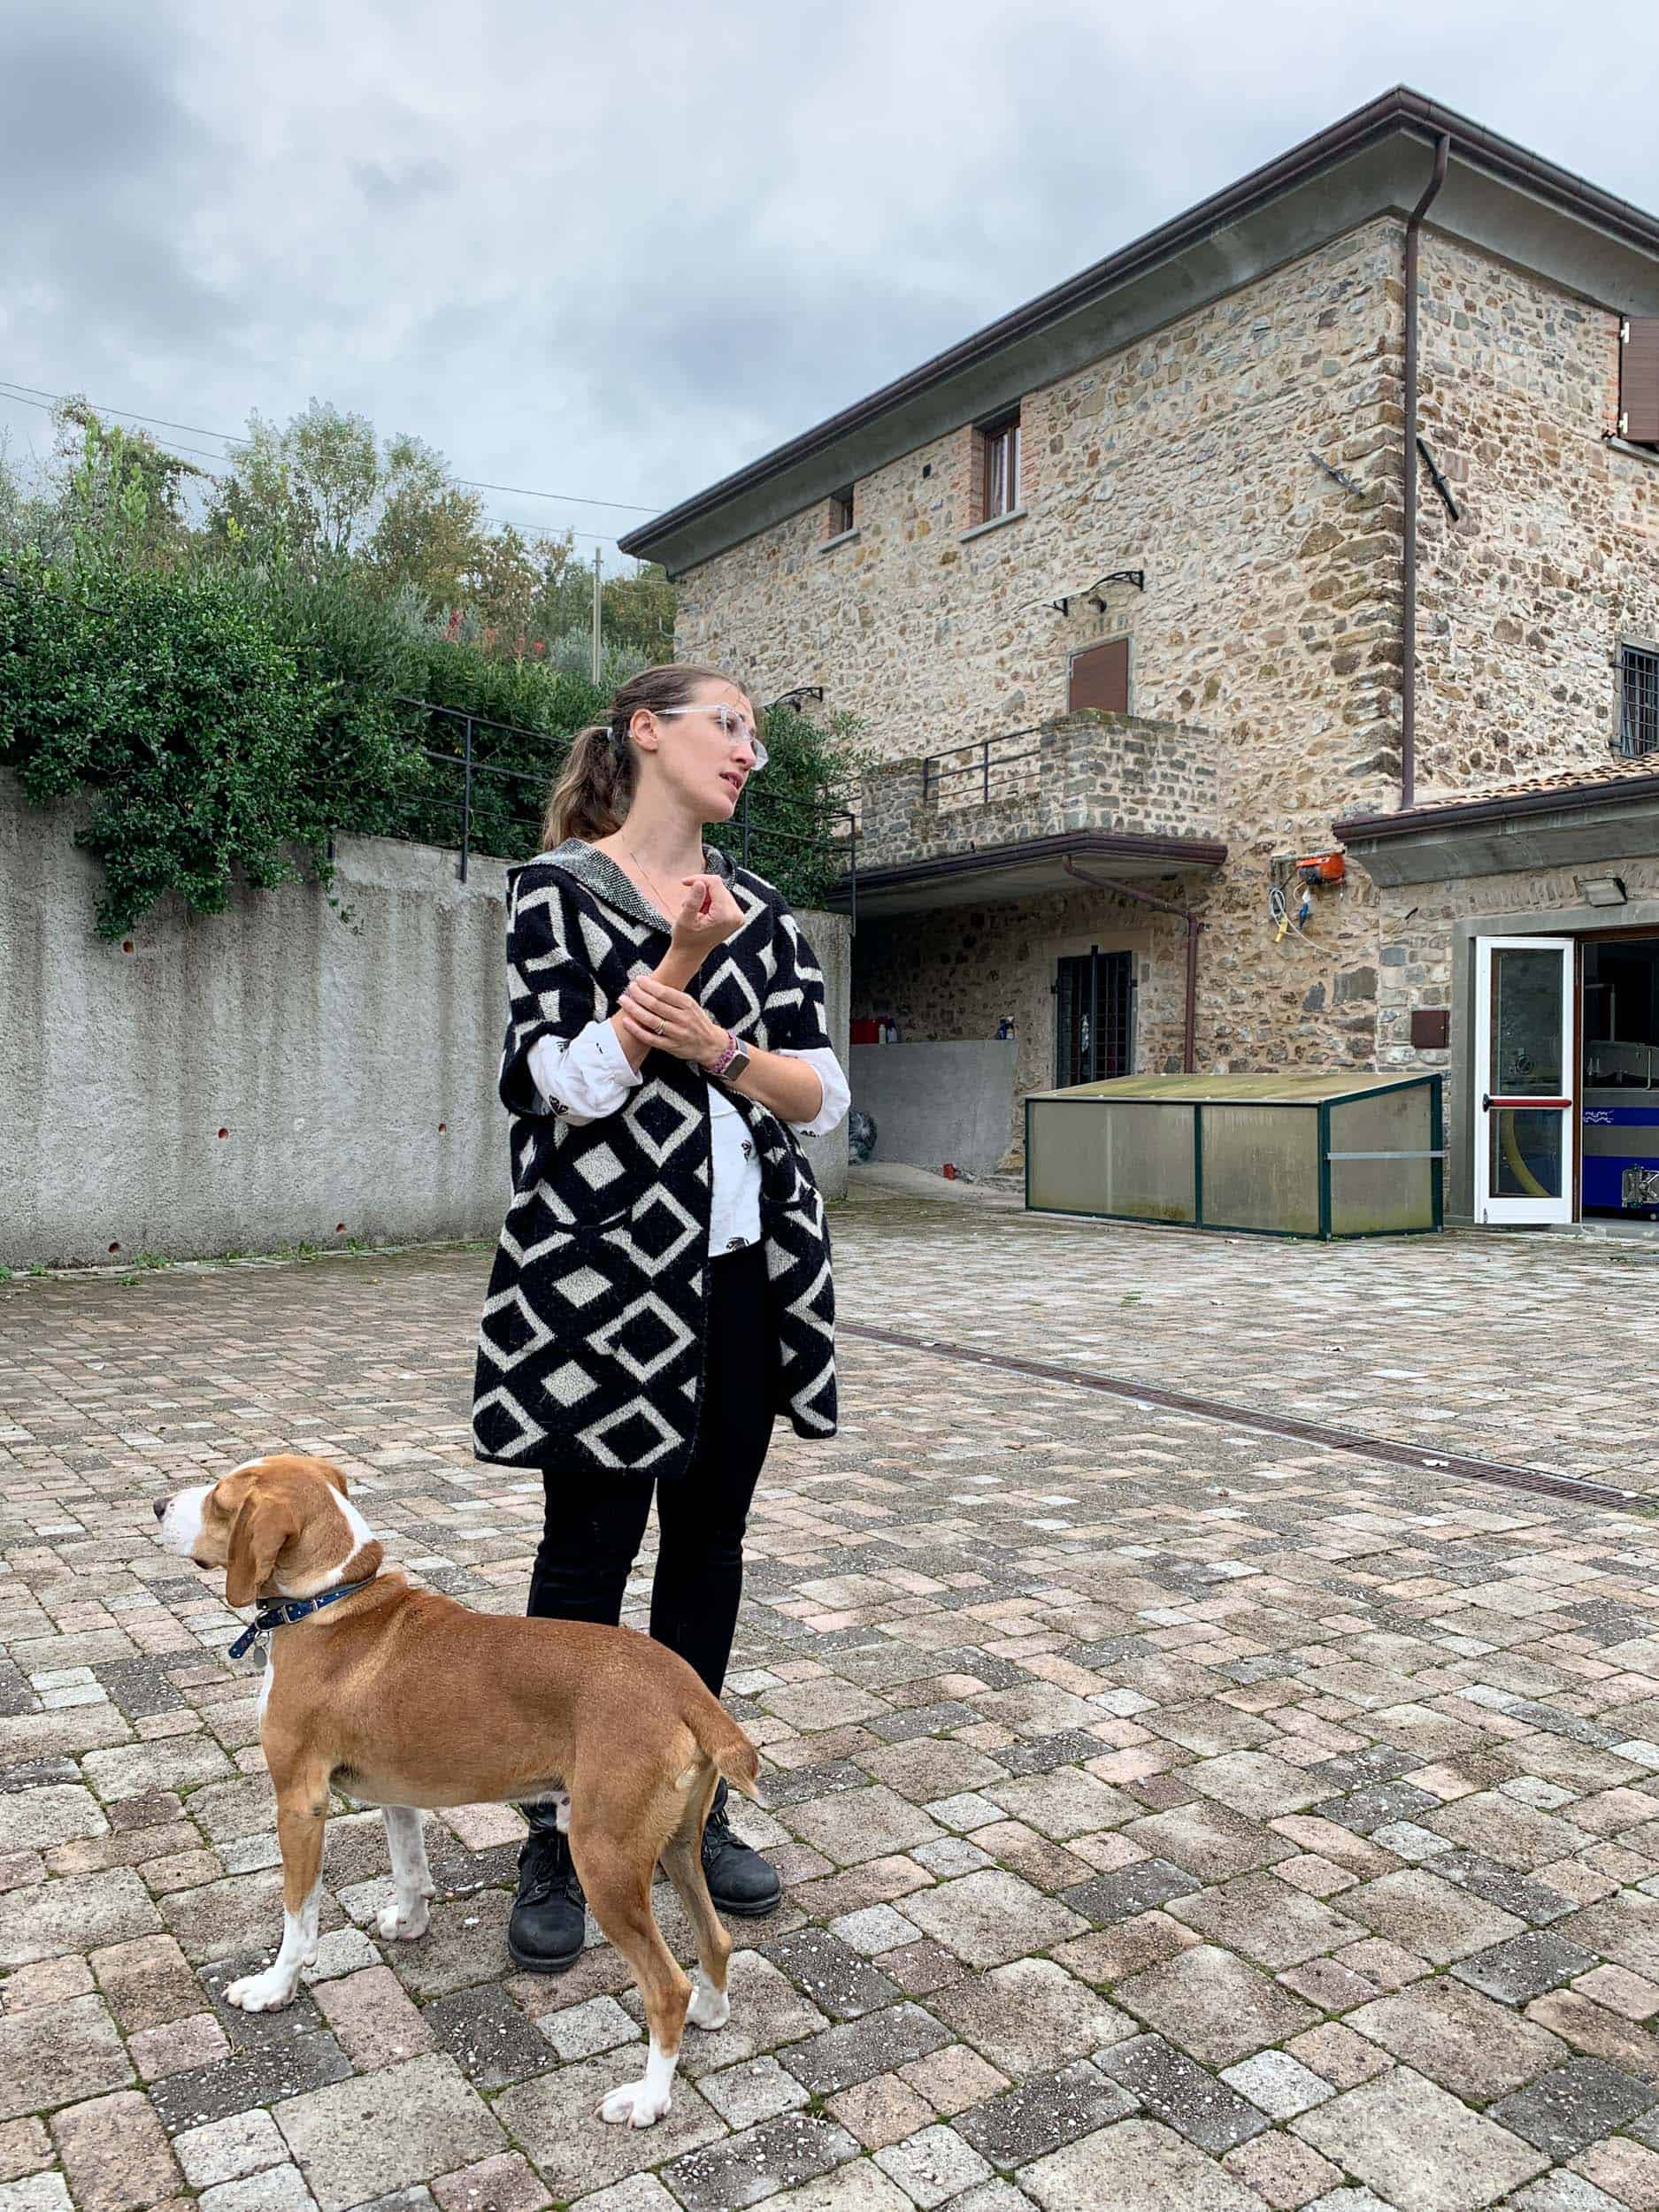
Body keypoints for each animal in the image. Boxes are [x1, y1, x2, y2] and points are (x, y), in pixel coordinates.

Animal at [149, 1451, 761, 2124]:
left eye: (221, 1500)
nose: (156, 1506)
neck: (334, 1597)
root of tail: (685, 1687)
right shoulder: (398, 1793)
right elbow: (409, 1867)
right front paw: (410, 1922)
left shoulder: (299, 1803)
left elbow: (298, 1915)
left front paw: (273, 1988)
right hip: (675, 1845)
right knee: (716, 1938)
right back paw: (711, 2012)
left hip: (604, 1857)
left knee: (666, 1986)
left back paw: (648, 2097)